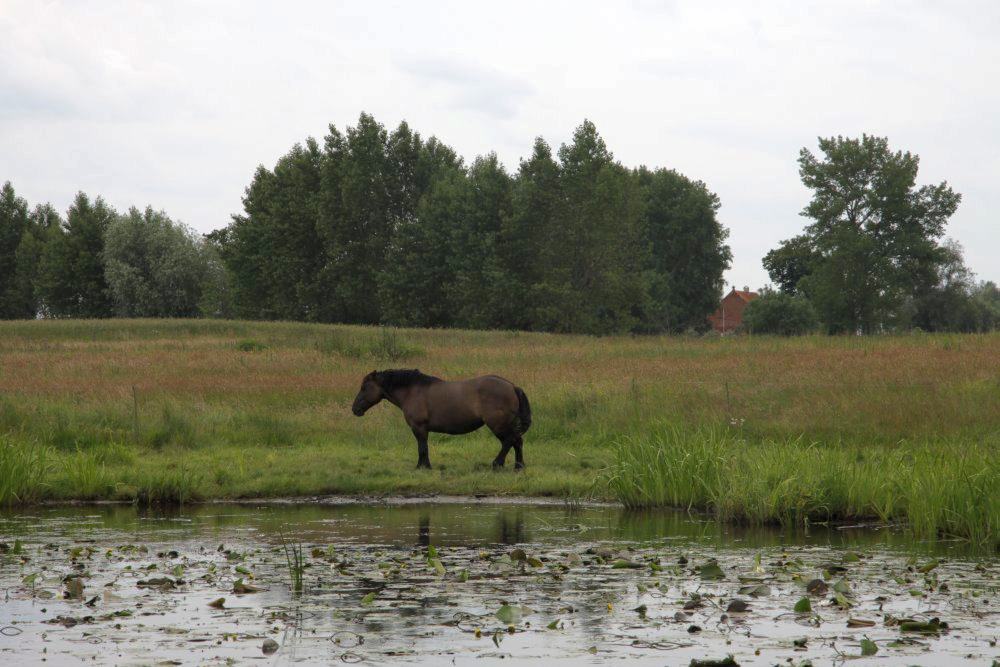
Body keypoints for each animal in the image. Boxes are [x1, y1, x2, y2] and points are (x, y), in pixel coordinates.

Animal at [351, 369, 532, 470]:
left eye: (364, 387)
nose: (355, 409)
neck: (412, 391)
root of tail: (512, 386)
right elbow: (423, 447)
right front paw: (424, 466)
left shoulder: (419, 428)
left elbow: (422, 448)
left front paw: (423, 467)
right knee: (517, 442)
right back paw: (518, 466)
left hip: (498, 425)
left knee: (509, 442)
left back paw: (497, 464)